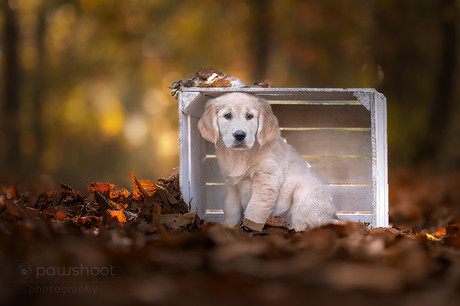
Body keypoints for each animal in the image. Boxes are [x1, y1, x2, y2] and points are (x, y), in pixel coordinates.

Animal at [197, 92, 334, 231]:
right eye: (227, 115)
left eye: (249, 116)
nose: (239, 135)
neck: (241, 155)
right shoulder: (231, 185)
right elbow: (231, 210)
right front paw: (229, 227)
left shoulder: (266, 181)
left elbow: (254, 211)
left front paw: (250, 228)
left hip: (304, 191)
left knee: (302, 225)